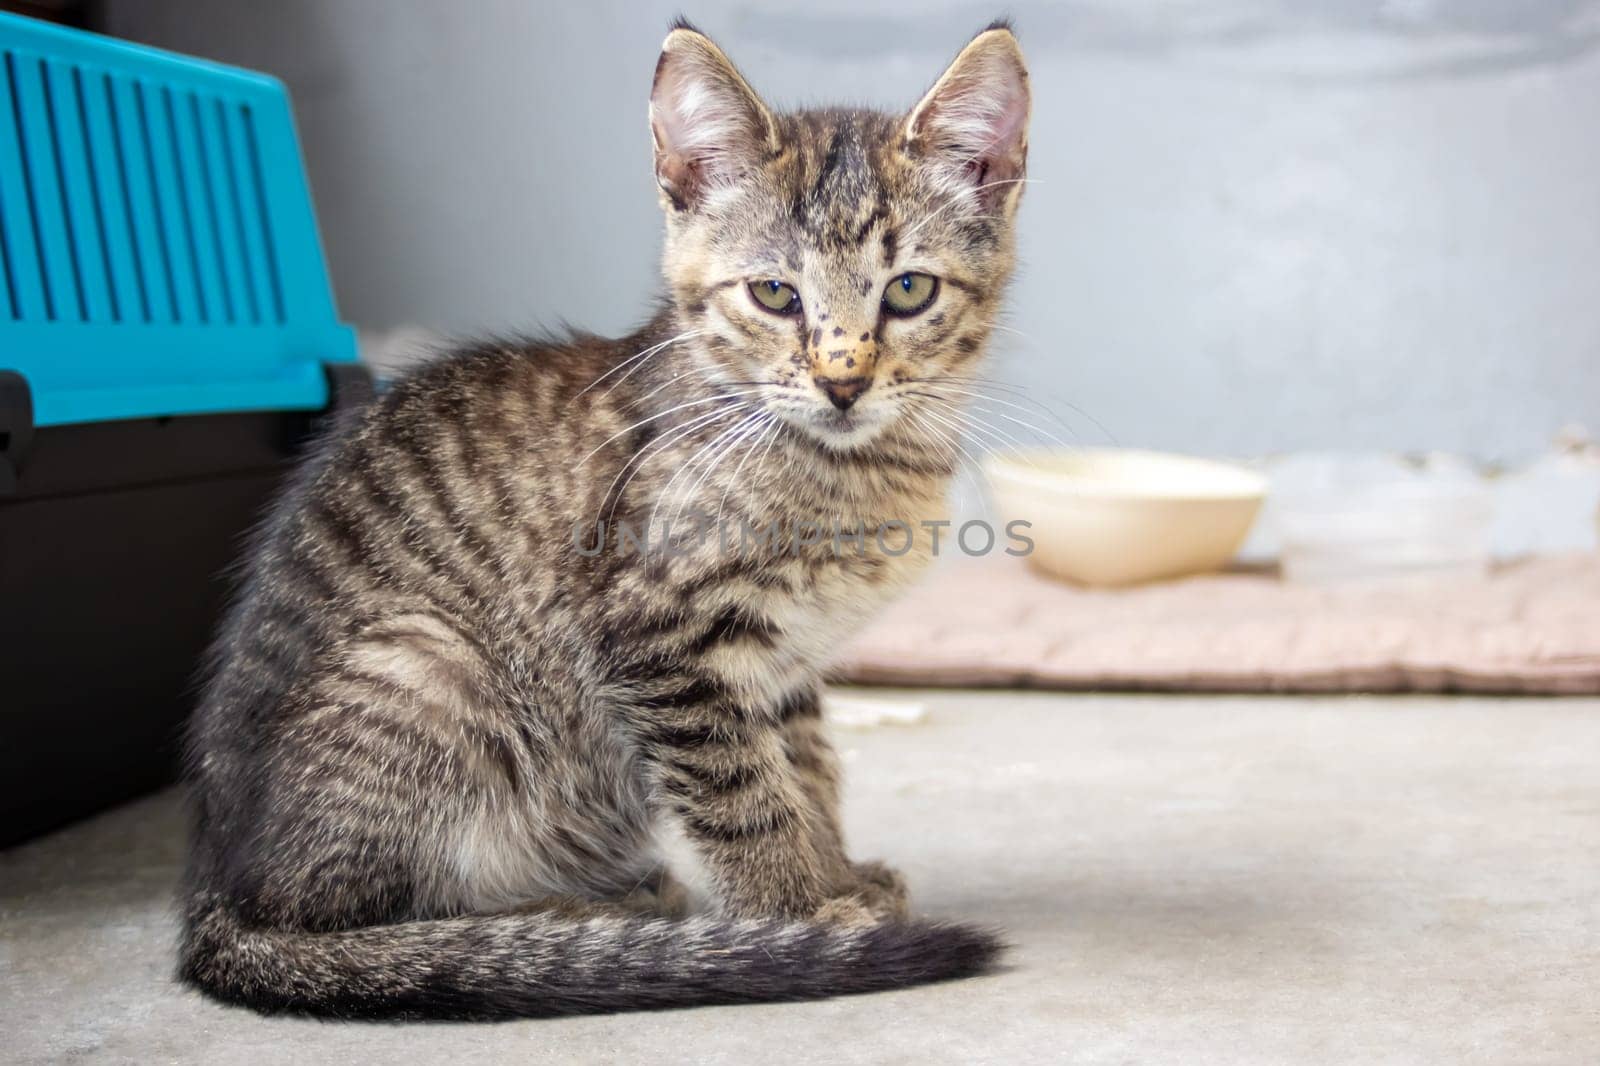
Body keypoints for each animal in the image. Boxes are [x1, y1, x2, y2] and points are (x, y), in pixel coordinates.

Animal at [184, 16, 1036, 1011]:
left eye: (908, 290)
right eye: (774, 294)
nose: (843, 380)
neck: (846, 465)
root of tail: (213, 885)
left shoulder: (782, 661)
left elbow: (809, 766)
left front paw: (834, 871)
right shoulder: (658, 636)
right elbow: (744, 793)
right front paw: (797, 912)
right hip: (425, 663)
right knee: (343, 916)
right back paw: (568, 922)